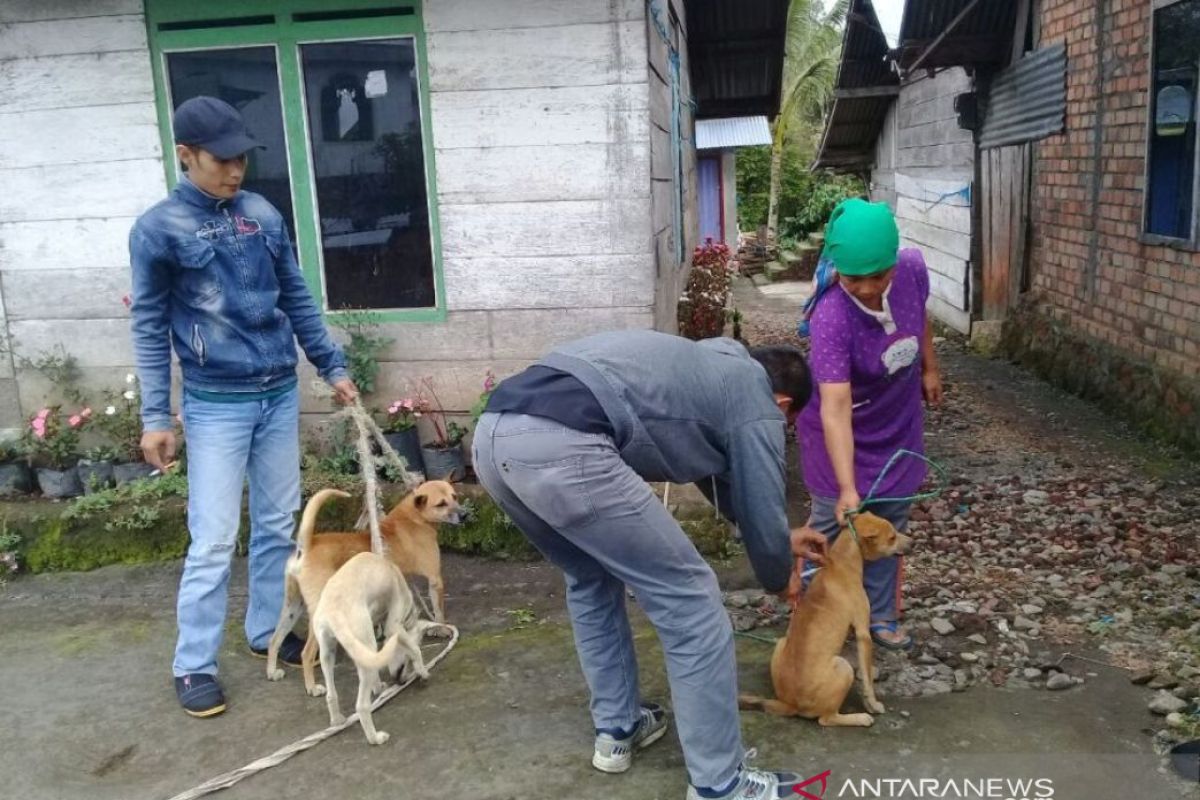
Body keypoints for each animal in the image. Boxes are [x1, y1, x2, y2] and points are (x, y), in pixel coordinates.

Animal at [267, 482, 463, 695]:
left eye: (454, 496)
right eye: (441, 503)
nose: (465, 514)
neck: (413, 517)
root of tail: (307, 546)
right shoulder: (435, 580)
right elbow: (439, 611)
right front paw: (442, 630)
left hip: (292, 607)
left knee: (274, 640)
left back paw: (272, 671)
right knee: (306, 653)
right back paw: (312, 687)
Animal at [314, 551, 436, 743]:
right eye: (407, 661)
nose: (402, 682)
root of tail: (334, 613)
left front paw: (378, 687)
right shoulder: (393, 627)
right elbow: (415, 650)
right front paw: (423, 672)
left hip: (329, 653)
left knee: (331, 695)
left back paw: (337, 720)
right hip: (366, 645)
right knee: (362, 706)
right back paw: (375, 739)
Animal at [739, 513, 907, 724]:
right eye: (892, 537)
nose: (911, 542)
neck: (842, 561)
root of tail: (790, 704)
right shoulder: (863, 633)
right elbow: (868, 679)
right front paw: (873, 704)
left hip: (781, 642)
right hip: (844, 667)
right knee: (826, 719)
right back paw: (859, 718)